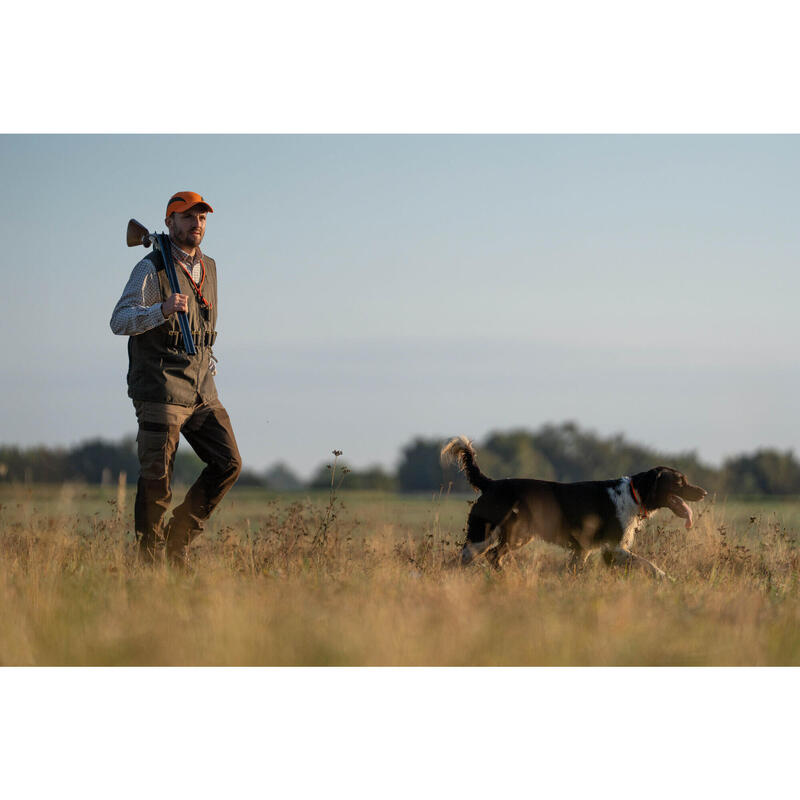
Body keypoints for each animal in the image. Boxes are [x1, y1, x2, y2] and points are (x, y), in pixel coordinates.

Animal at [440, 434, 708, 580]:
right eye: (680, 482)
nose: (703, 492)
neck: (634, 493)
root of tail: (491, 483)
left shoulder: (584, 549)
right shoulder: (613, 548)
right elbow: (649, 565)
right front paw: (667, 578)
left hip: (518, 536)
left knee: (493, 556)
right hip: (482, 537)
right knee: (458, 562)